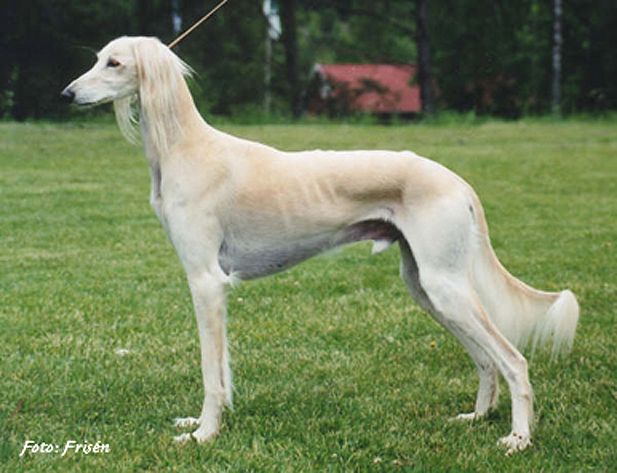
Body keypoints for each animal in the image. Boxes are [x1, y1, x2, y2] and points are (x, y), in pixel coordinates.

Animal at [62, 37, 576, 454]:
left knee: (513, 360)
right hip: (426, 285)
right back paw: (478, 416)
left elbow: (210, 370)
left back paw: (518, 437)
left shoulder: (205, 281)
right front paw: (211, 423)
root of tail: (458, 180)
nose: (67, 94)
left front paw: (204, 434)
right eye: (96, 58)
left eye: (114, 62)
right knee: (486, 360)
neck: (186, 148)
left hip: (444, 285)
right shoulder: (216, 287)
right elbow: (222, 370)